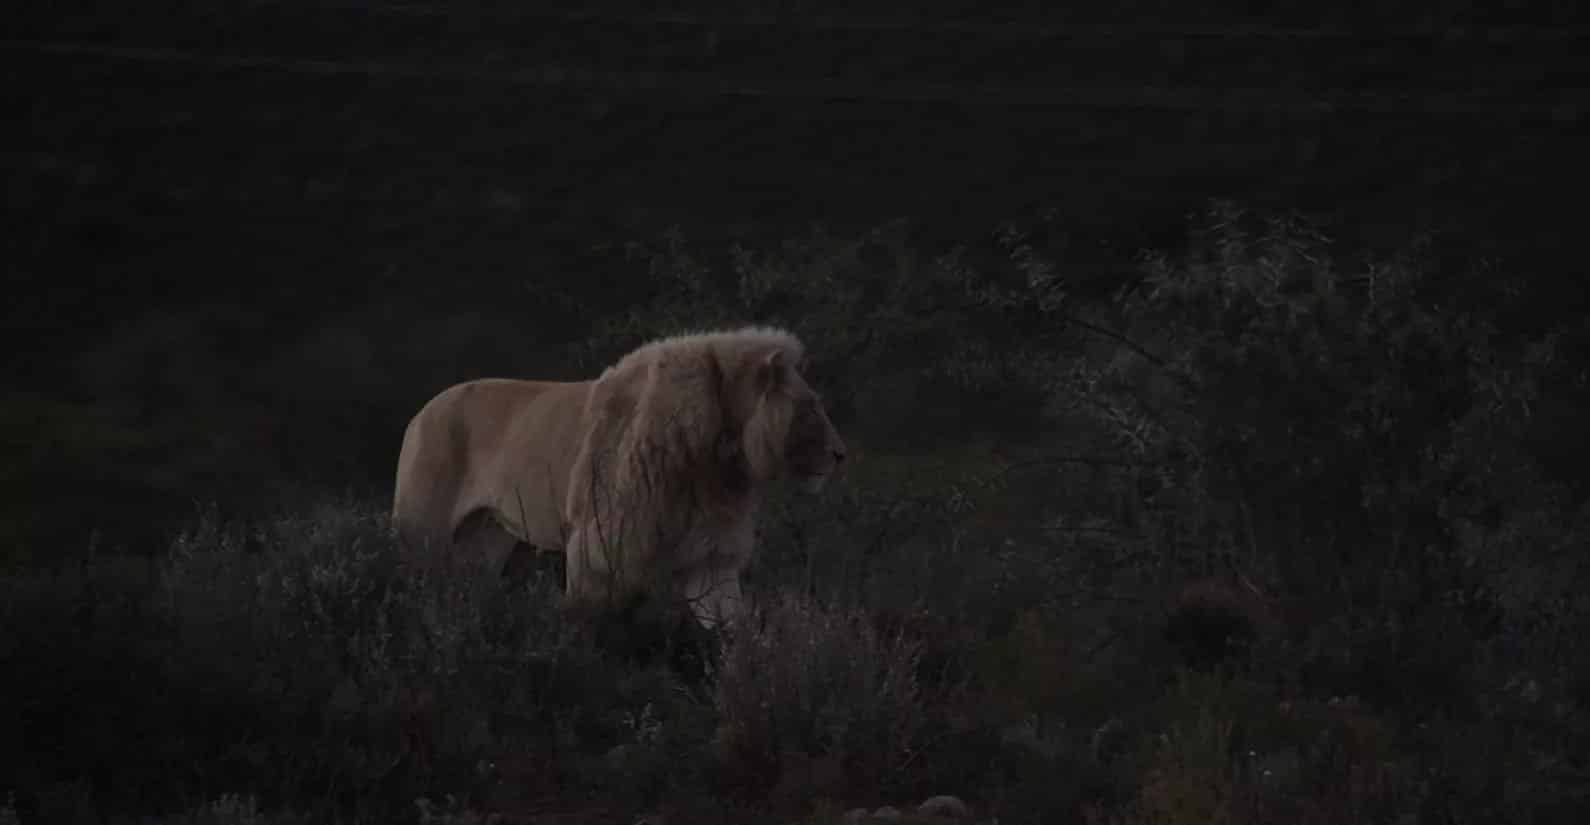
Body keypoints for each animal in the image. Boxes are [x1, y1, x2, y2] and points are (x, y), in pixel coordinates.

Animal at [391, 326, 847, 631]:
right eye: (810, 407)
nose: (840, 454)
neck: (720, 448)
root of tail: (420, 412)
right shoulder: (599, 547)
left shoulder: (710, 556)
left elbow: (729, 623)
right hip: (423, 530)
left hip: (483, 540)